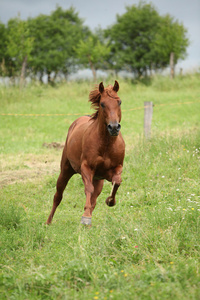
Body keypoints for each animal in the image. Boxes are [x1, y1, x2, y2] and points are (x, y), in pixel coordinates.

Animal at [46, 79, 126, 225]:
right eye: (102, 104)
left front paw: (110, 201)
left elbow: (117, 182)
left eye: (119, 102)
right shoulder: (86, 168)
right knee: (58, 196)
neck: (106, 144)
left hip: (98, 180)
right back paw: (48, 222)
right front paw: (85, 218)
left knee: (94, 198)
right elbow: (88, 189)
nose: (113, 127)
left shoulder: (115, 168)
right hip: (65, 170)